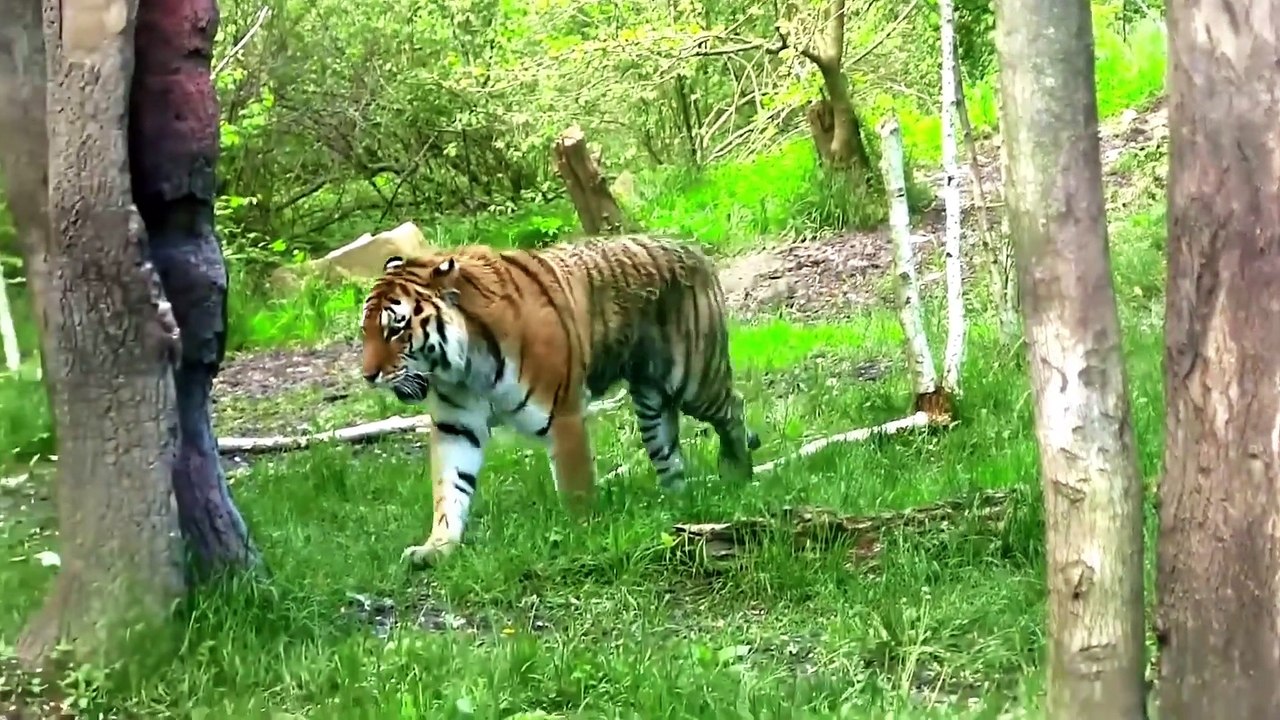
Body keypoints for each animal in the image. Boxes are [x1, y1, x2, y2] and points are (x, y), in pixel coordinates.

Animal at [359, 233, 762, 567]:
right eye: (365, 331)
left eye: (395, 328)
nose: (367, 375)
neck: (464, 366)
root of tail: (693, 248)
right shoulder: (455, 426)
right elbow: (450, 490)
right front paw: (437, 548)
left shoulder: (563, 414)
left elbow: (574, 485)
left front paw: (581, 535)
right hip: (651, 401)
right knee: (670, 456)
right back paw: (678, 505)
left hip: (694, 380)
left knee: (733, 407)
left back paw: (737, 472)